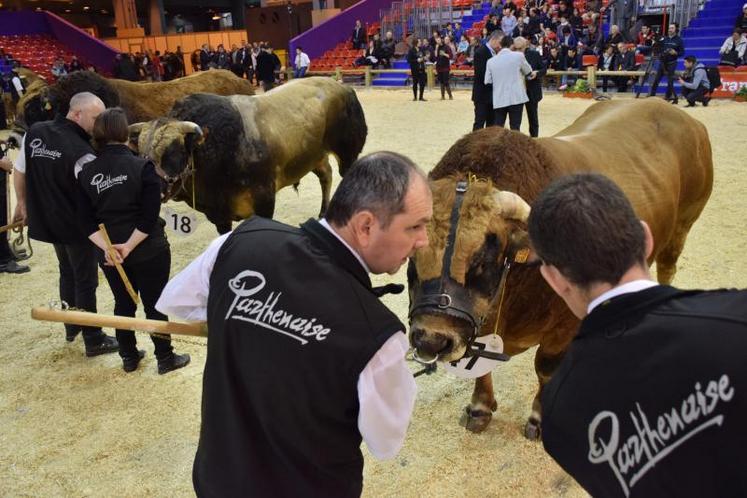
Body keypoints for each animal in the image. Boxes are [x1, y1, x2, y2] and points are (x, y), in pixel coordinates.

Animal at [410, 98, 712, 440]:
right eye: (412, 254)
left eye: (484, 259)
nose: (432, 339)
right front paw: (480, 406)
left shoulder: (563, 328)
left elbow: (546, 368)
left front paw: (539, 418)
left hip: (682, 227)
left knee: (667, 268)